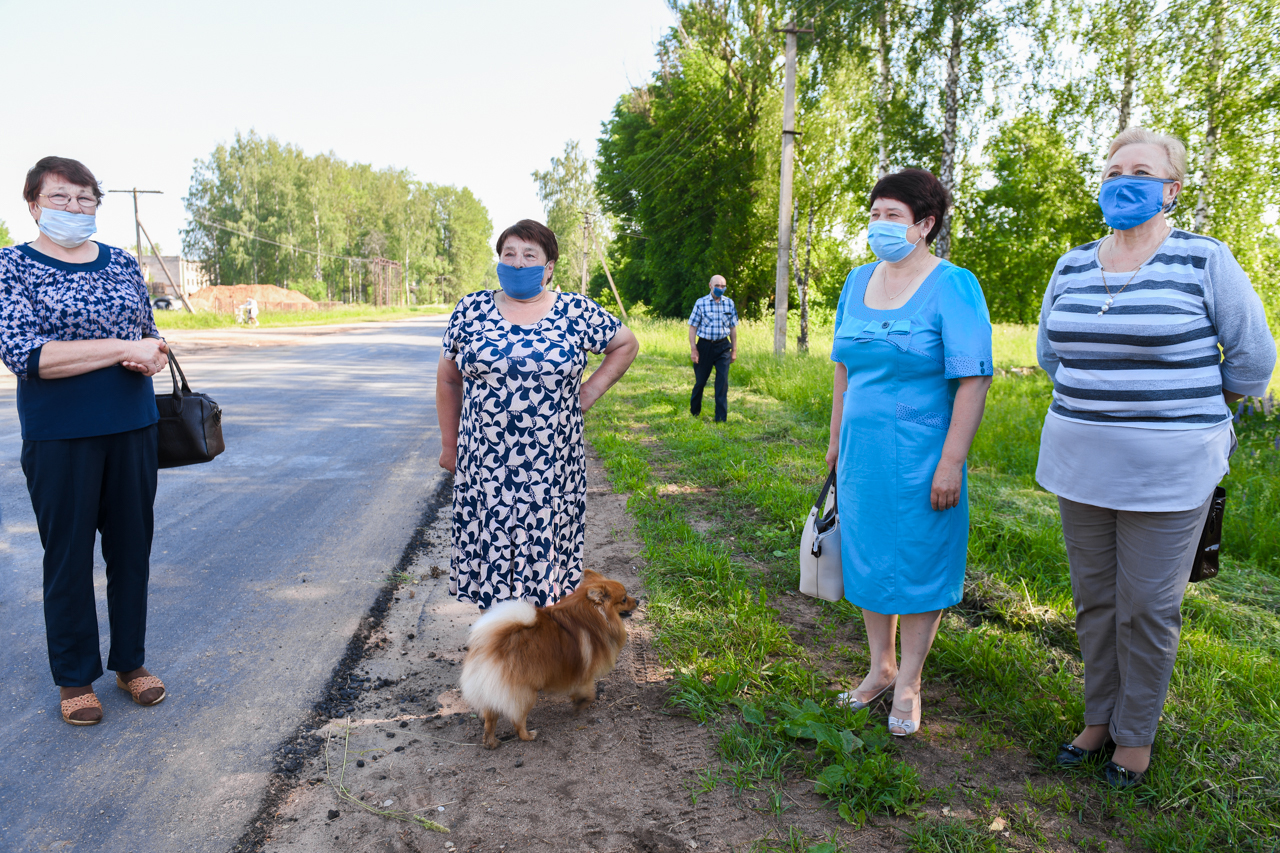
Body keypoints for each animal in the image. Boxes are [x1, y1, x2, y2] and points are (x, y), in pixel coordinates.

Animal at [460, 571, 640, 742]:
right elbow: (588, 692)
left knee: (490, 719)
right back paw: (528, 735)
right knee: (517, 719)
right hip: (525, 693)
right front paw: (581, 705)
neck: (595, 616)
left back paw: (491, 742)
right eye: (624, 599)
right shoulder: (586, 672)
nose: (637, 600)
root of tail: (492, 645)